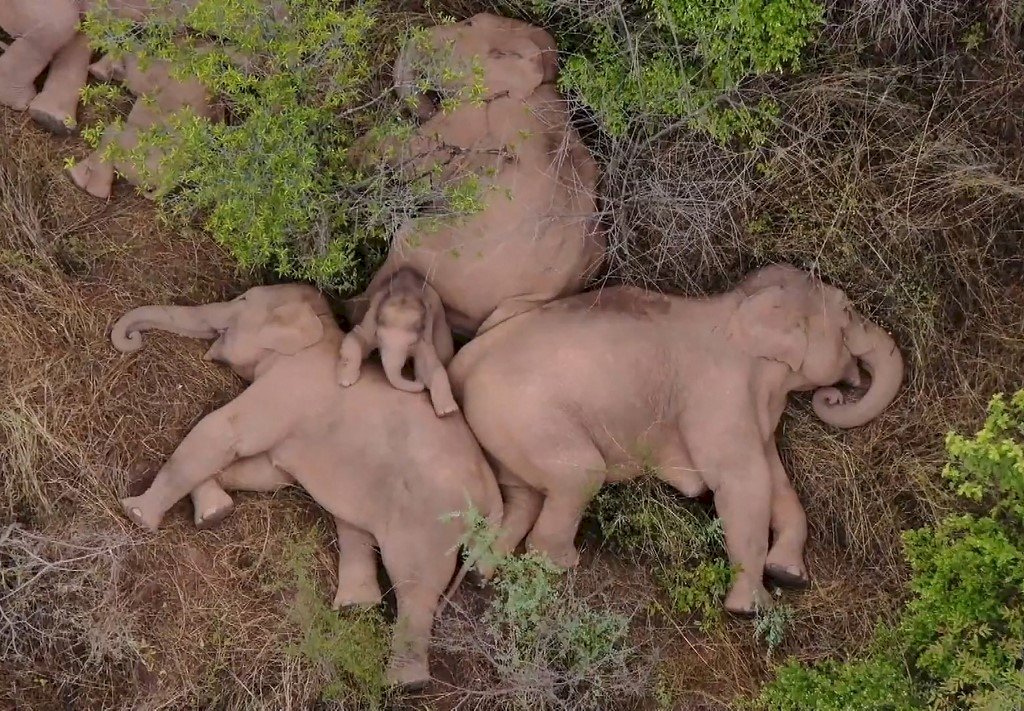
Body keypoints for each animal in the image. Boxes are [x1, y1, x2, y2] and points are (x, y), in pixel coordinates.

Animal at [109, 283, 503, 688]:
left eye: (242, 301)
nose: (133, 339)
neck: (321, 328)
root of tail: (493, 493)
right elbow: (267, 472)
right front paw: (214, 512)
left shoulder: (288, 387)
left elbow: (224, 432)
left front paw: (136, 513)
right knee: (357, 529)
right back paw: (355, 607)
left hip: (431, 519)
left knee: (414, 581)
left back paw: (404, 682)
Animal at [338, 268, 459, 417]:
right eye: (379, 337)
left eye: (411, 344)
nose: (419, 383)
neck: (405, 292)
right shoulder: (370, 320)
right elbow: (356, 337)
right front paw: (346, 381)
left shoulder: (425, 336)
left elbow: (431, 363)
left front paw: (448, 411)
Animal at [448, 264, 905, 615]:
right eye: (848, 312)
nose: (834, 395)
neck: (739, 305)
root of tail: (463, 361)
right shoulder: (717, 394)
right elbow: (743, 482)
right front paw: (750, 610)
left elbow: (775, 481)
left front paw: (788, 575)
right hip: (525, 416)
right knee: (579, 476)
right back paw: (562, 565)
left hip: (503, 430)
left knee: (522, 496)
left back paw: (480, 576)